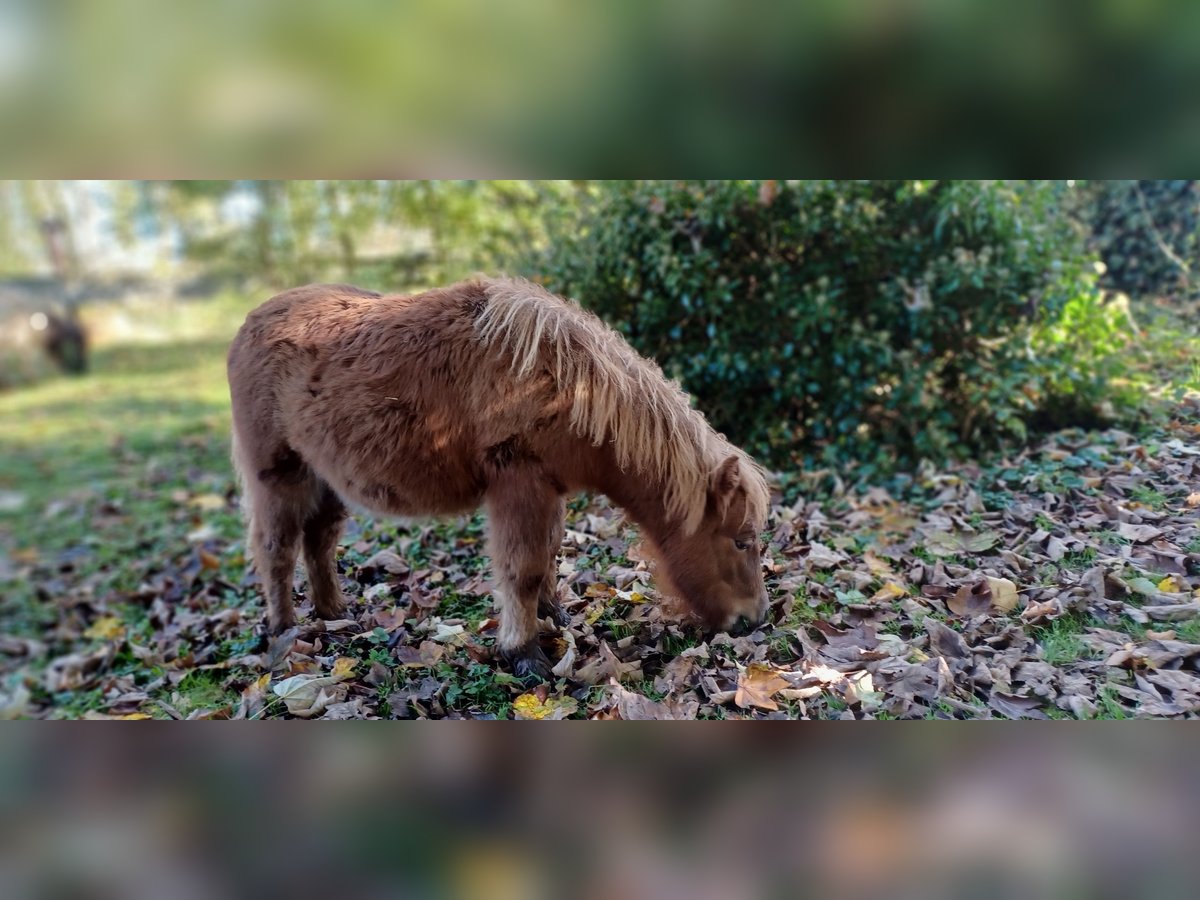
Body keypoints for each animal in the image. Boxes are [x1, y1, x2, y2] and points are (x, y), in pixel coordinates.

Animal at [226, 278, 768, 681]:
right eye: (741, 542)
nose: (756, 620)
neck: (565, 383)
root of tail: (250, 324)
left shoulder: (549, 489)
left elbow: (548, 553)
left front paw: (553, 616)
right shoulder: (519, 485)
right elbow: (522, 568)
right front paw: (524, 652)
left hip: (327, 480)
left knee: (319, 542)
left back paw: (335, 614)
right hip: (279, 477)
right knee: (276, 550)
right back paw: (284, 632)